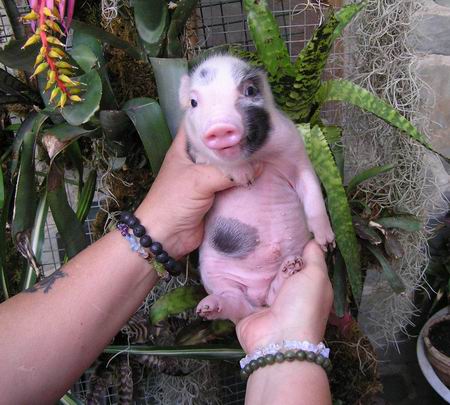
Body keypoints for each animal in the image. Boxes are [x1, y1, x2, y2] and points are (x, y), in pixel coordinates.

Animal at [178, 54, 335, 324]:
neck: (258, 156)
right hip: (215, 274)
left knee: (269, 298)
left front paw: (327, 243)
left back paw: (290, 268)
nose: (220, 126)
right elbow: (213, 161)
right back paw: (207, 308)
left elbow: (312, 191)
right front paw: (246, 178)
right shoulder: (196, 158)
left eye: (250, 91)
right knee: (235, 305)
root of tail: (257, 297)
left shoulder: (298, 155)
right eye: (193, 101)